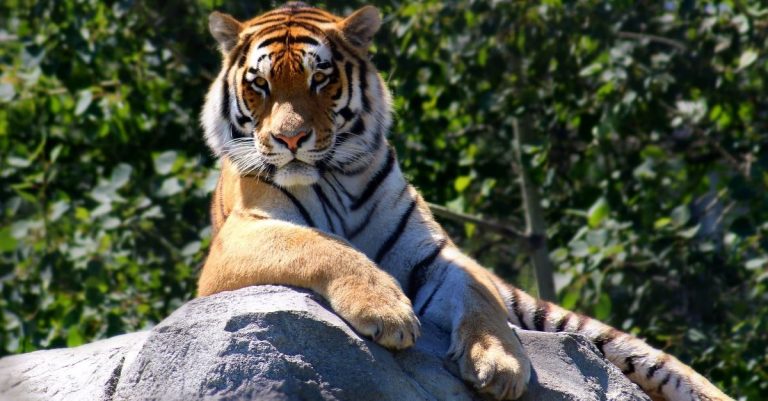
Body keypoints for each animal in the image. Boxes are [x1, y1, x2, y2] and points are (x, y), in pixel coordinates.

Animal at [196, 3, 734, 401]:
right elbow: (321, 246)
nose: (290, 139)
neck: (337, 178)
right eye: (260, 85)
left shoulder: (434, 254)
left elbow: (478, 296)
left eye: (320, 80)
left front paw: (500, 364)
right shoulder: (240, 237)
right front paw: (387, 312)